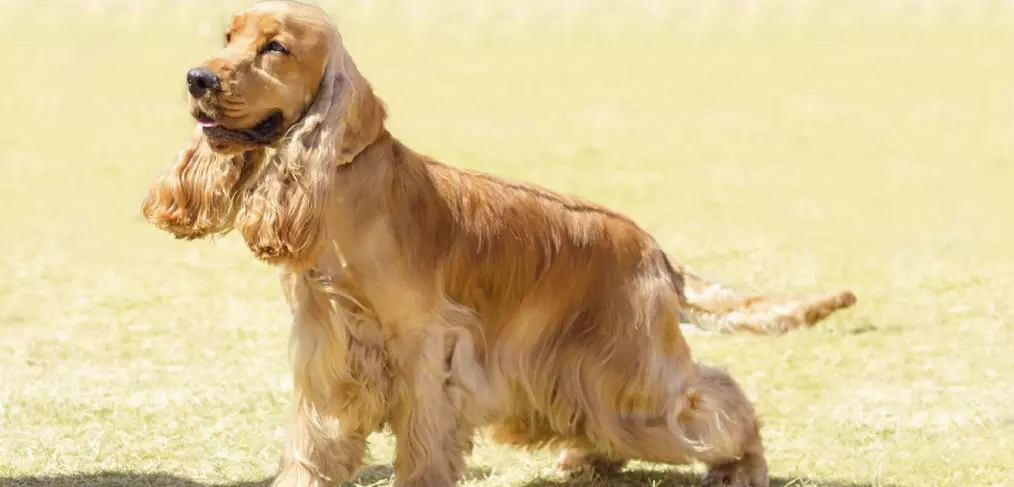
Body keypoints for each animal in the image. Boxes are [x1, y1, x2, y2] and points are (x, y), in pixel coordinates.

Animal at [142, 1, 855, 484]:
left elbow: (423, 449)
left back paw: (743, 466)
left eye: (276, 48)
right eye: (229, 36)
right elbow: (312, 447)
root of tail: (654, 250)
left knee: (721, 401)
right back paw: (586, 458)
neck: (344, 189)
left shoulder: (425, 349)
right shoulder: (325, 350)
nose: (198, 78)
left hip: (636, 372)